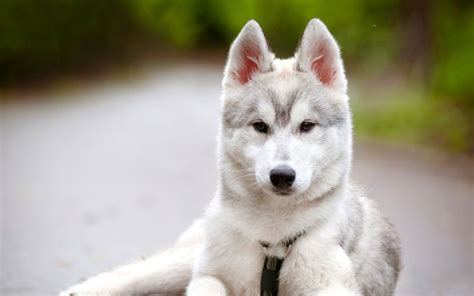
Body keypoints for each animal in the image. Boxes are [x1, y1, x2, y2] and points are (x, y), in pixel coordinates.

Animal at [59, 19, 400, 296]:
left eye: (307, 126)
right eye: (260, 126)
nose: (282, 175)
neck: (273, 243)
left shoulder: (332, 285)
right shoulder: (209, 275)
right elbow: (206, 285)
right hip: (185, 259)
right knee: (135, 272)